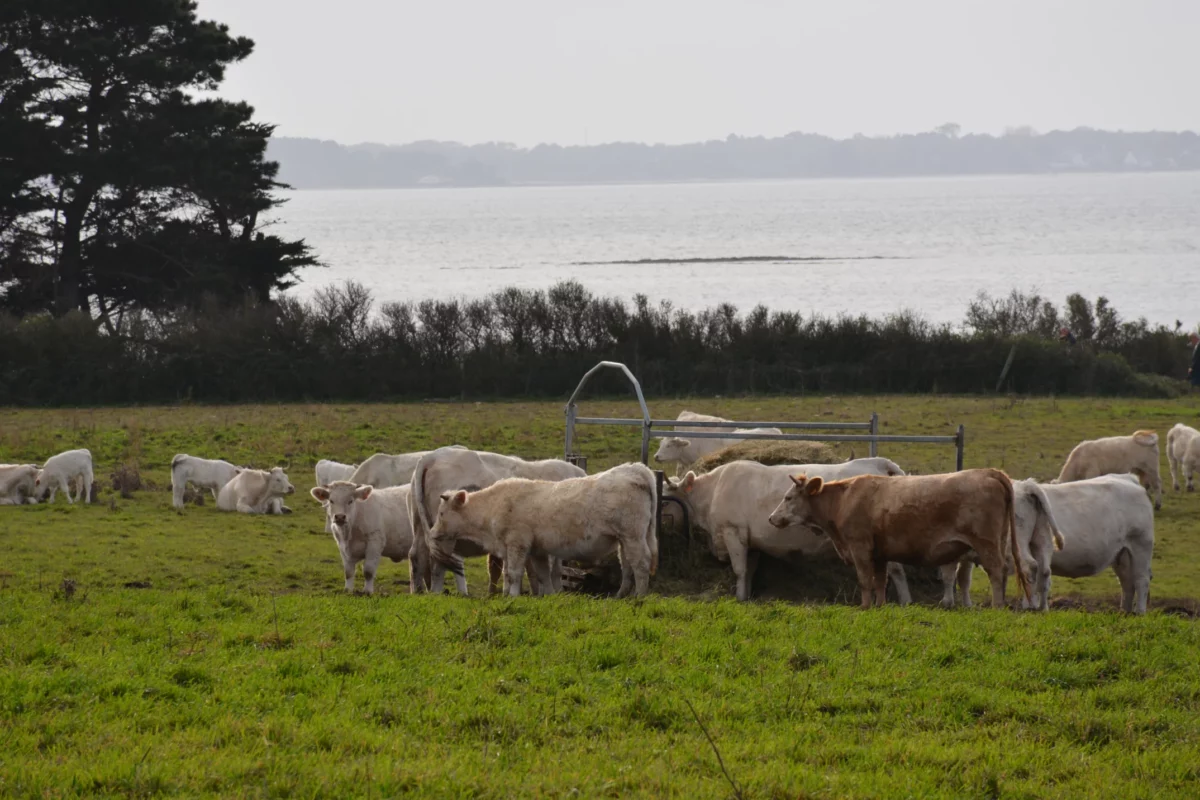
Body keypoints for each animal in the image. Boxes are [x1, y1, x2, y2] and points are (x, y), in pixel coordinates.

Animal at [408, 448, 585, 597]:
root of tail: (432, 456)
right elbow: (552, 570)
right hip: (446, 534)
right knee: (439, 562)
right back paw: (437, 592)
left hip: (421, 526)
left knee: (418, 556)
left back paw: (418, 591)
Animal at [429, 460, 657, 597]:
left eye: (441, 514)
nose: (432, 533)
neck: (493, 506)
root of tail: (635, 469)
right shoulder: (536, 550)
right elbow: (542, 575)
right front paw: (548, 596)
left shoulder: (517, 544)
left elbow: (513, 573)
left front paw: (512, 596)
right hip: (624, 540)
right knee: (627, 565)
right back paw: (620, 596)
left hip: (633, 536)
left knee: (641, 563)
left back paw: (639, 596)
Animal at [657, 455, 907, 599]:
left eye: (666, 501)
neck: (714, 489)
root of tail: (878, 463)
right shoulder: (751, 542)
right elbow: (749, 572)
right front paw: (746, 597)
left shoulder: (733, 532)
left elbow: (739, 570)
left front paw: (738, 599)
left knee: (896, 570)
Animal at [768, 465, 1032, 609]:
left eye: (788, 498)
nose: (771, 518)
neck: (844, 500)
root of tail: (989, 472)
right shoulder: (879, 554)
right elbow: (880, 581)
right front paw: (879, 605)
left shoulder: (859, 548)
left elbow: (865, 580)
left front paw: (864, 606)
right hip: (998, 541)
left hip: (986, 544)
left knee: (996, 571)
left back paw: (997, 606)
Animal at [936, 474, 1152, 614]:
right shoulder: (966, 554)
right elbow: (964, 578)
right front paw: (966, 604)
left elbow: (950, 576)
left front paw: (948, 602)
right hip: (1122, 554)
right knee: (1127, 582)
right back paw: (1124, 610)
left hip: (1141, 545)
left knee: (1141, 579)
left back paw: (1140, 611)